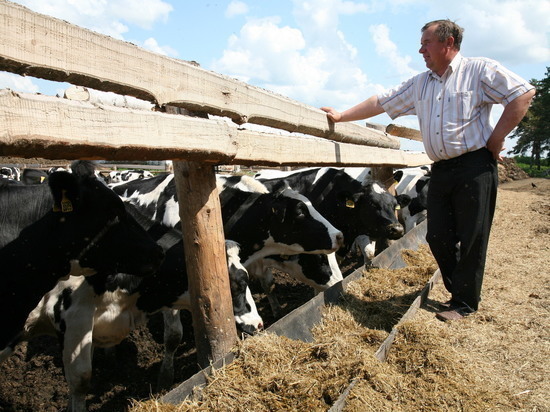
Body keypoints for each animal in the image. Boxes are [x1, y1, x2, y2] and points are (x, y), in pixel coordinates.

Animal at [0, 238, 260, 412]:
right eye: (237, 285)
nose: (259, 324)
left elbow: (173, 336)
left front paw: (164, 380)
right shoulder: (75, 320)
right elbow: (80, 379)